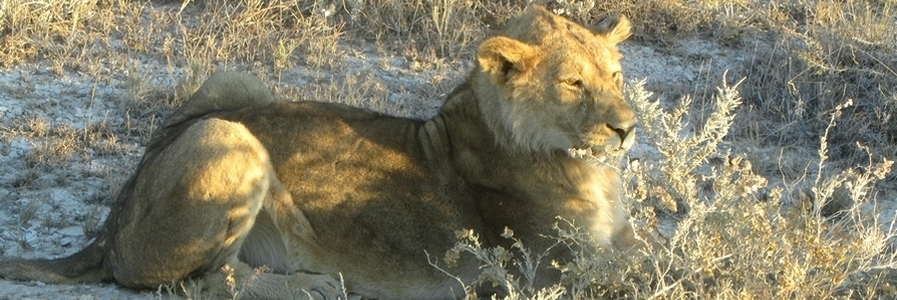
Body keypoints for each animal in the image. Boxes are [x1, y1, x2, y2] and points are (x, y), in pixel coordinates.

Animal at [3, 5, 640, 300]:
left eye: (615, 75)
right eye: (575, 84)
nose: (628, 128)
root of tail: (109, 231)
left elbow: (646, 246)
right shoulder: (549, 270)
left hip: (232, 84)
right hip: (229, 137)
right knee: (204, 281)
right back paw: (315, 284)